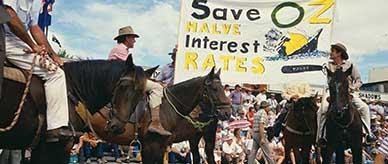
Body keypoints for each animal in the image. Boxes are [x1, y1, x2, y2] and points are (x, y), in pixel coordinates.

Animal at [0, 55, 155, 164]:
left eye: (141, 94)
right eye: (122, 86)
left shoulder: (41, 147)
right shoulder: (58, 146)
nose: (117, 127)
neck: (72, 88)